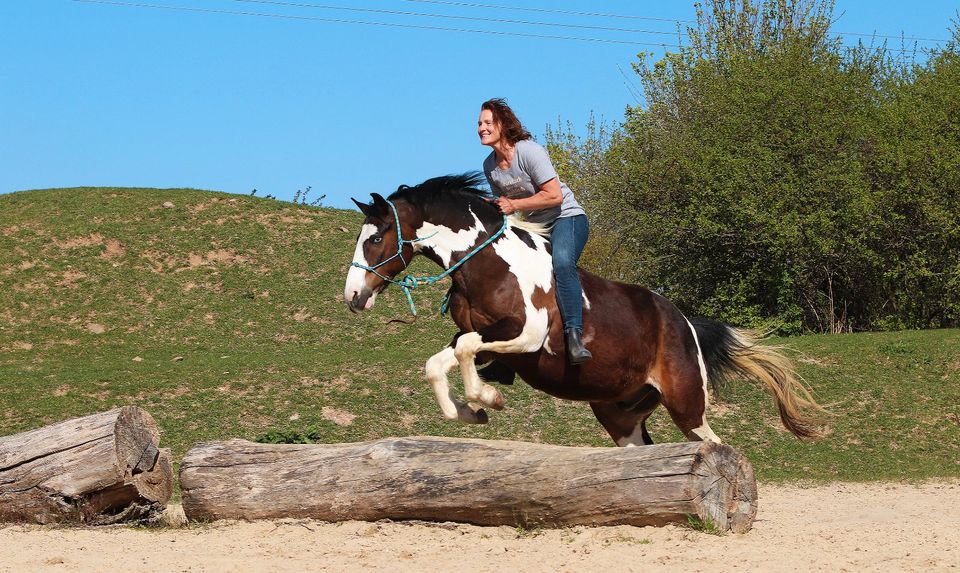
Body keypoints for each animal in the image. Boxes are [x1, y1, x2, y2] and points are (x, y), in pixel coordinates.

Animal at [342, 172, 820, 444]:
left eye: (376, 237)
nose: (353, 297)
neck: (486, 259)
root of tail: (685, 322)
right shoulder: (479, 334)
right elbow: (441, 361)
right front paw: (468, 412)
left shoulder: (527, 334)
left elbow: (463, 353)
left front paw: (488, 397)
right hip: (619, 413)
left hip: (687, 404)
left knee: (715, 446)